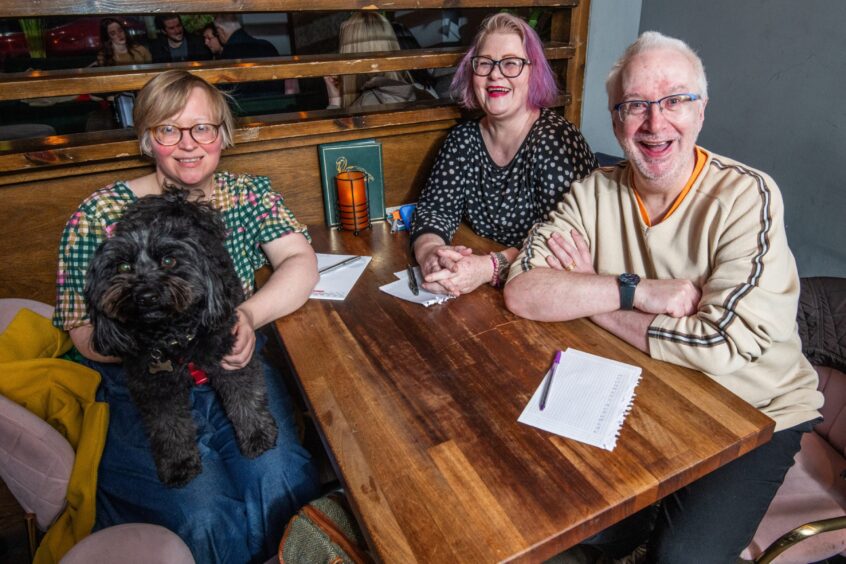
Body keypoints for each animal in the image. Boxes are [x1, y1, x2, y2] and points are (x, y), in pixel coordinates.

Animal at [85, 188, 278, 484]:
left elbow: (245, 398)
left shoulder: (229, 358)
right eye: (123, 267)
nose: (146, 295)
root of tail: (176, 205)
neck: (174, 336)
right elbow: (168, 427)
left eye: (169, 261)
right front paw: (178, 463)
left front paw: (256, 435)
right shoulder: (153, 387)